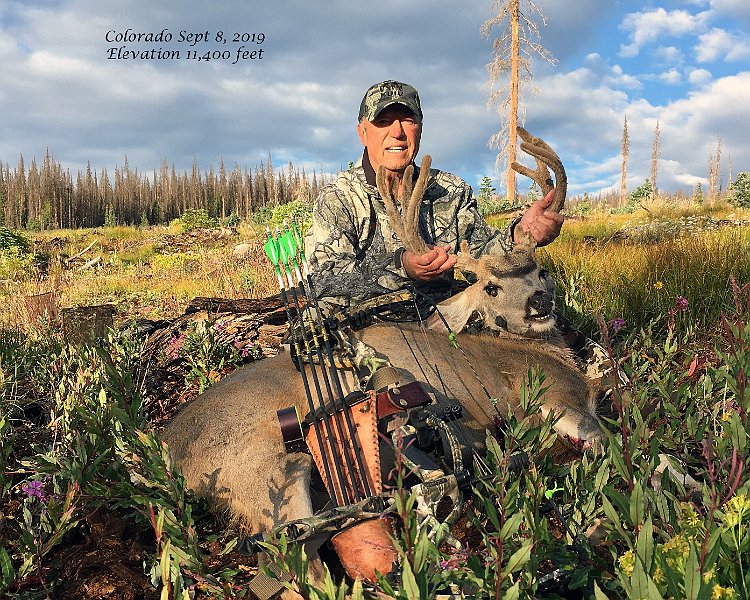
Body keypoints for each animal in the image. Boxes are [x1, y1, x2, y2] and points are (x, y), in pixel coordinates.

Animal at [160, 128, 604, 595]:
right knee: (300, 566)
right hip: (262, 472)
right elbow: (611, 447)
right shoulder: (555, 401)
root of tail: (171, 451)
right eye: (492, 287)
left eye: (541, 272)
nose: (540, 302)